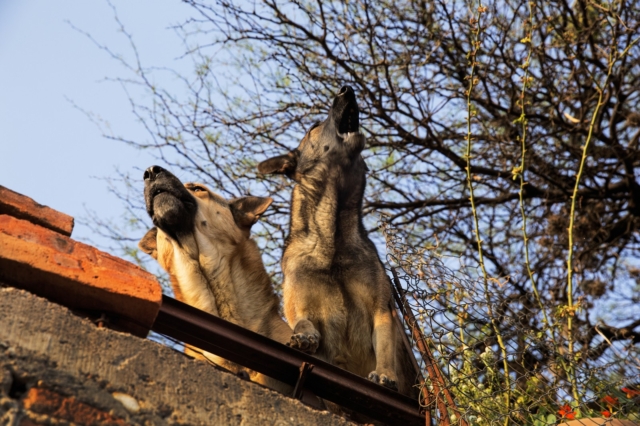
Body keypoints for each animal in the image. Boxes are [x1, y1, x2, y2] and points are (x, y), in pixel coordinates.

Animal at [258, 85, 418, 398]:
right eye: (313, 128)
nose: (347, 89)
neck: (331, 239)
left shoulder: (382, 309)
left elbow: (384, 346)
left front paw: (385, 374)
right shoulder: (297, 304)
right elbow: (302, 319)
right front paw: (304, 335)